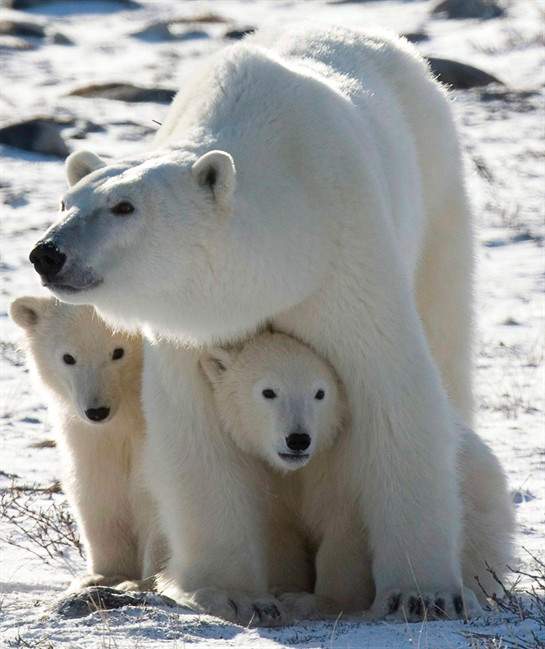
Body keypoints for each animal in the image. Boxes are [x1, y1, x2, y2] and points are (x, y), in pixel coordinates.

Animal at [10, 296, 166, 591]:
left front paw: (145, 582)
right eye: (68, 357)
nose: (97, 411)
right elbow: (97, 487)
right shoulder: (88, 435)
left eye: (118, 352)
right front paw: (104, 576)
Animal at [202, 331, 514, 620]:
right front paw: (282, 590)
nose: (298, 440)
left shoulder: (348, 466)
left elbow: (346, 535)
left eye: (320, 393)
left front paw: (315, 601)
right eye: (268, 391)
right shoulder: (269, 478)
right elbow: (280, 534)